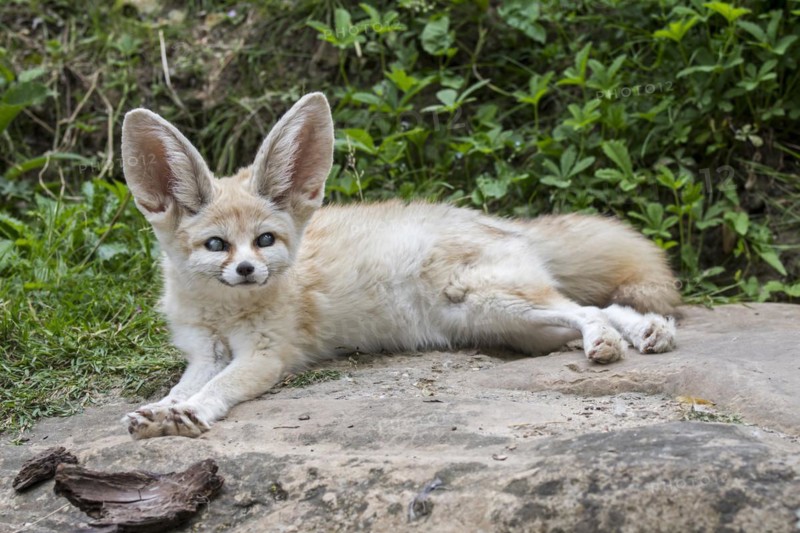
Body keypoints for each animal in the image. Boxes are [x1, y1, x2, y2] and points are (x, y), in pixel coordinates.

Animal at [120, 93, 680, 439]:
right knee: (595, 309)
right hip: (504, 324)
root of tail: (495, 220)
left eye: (264, 241)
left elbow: (217, 390)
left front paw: (189, 413)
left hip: (490, 301)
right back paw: (645, 332)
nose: (246, 272)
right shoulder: (204, 353)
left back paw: (617, 339)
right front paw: (164, 411)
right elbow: (181, 386)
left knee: (590, 309)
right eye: (216, 245)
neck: (223, 314)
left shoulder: (264, 355)